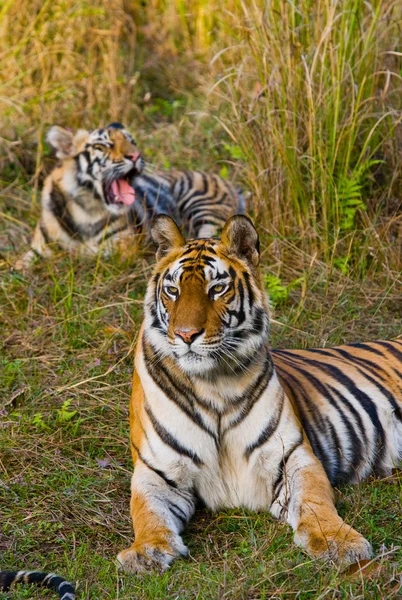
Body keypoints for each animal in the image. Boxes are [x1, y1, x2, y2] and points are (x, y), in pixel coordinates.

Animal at [13, 123, 245, 270]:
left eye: (132, 141)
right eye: (102, 146)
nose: (135, 156)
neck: (85, 209)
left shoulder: (121, 249)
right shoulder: (37, 250)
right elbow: (17, 267)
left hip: (204, 209)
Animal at [117, 213, 402, 576]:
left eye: (217, 288)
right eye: (172, 290)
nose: (185, 335)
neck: (212, 384)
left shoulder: (292, 455)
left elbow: (315, 502)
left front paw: (341, 543)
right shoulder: (156, 471)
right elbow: (146, 512)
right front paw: (146, 551)